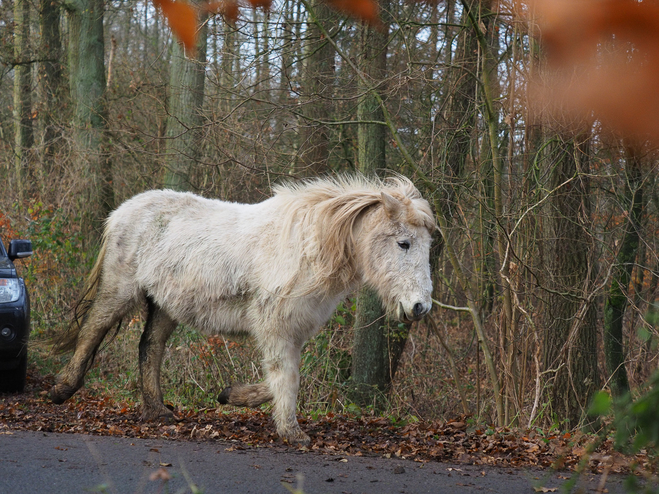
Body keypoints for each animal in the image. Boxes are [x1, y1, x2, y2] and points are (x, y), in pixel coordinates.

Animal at [50, 175, 434, 444]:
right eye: (404, 243)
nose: (420, 307)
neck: (307, 248)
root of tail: (122, 211)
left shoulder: (294, 330)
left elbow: (282, 379)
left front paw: (231, 395)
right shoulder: (274, 327)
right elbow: (287, 377)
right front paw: (292, 432)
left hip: (165, 305)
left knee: (150, 347)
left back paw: (157, 410)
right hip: (120, 289)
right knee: (93, 329)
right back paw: (62, 390)